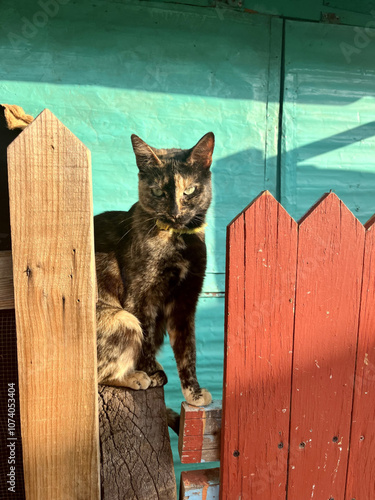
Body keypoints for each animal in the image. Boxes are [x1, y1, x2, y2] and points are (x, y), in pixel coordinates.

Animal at [94, 132, 216, 406]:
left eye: (190, 190)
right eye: (158, 192)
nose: (175, 213)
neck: (178, 242)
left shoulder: (186, 300)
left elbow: (187, 350)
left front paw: (193, 392)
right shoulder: (139, 297)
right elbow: (146, 337)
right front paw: (151, 372)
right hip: (122, 319)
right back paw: (136, 376)